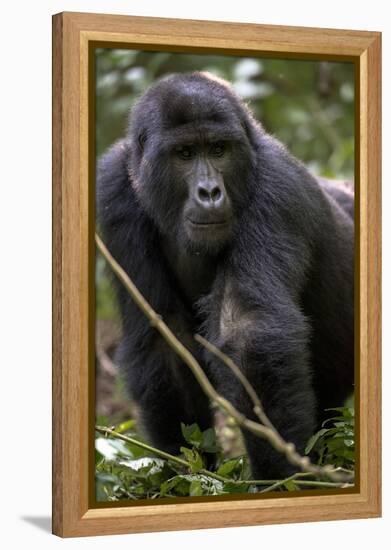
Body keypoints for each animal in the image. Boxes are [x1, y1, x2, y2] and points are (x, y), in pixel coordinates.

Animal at [98, 71, 356, 480]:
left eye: (219, 149)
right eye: (185, 154)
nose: (209, 192)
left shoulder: (277, 188)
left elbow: (249, 331)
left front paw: (280, 478)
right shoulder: (113, 192)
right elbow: (163, 338)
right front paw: (186, 472)